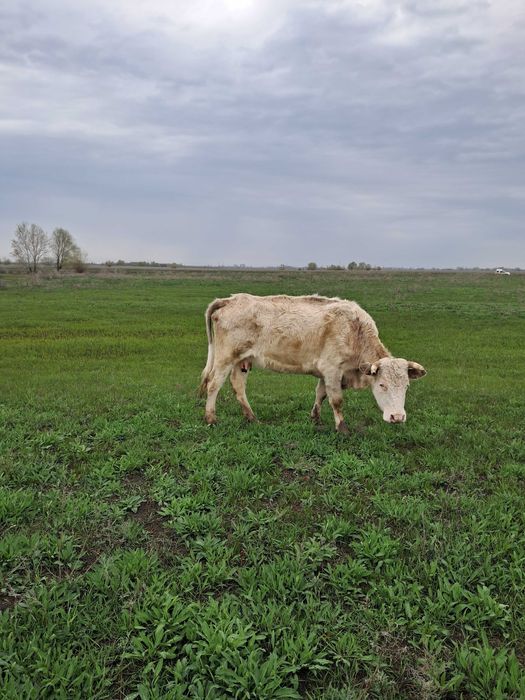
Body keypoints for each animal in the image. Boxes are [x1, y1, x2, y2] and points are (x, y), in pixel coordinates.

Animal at [198, 293, 426, 432]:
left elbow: (321, 393)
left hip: (242, 361)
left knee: (238, 387)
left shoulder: (327, 373)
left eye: (406, 386)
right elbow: (336, 400)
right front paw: (342, 428)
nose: (397, 417)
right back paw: (211, 419)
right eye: (382, 385)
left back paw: (252, 418)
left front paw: (315, 418)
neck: (355, 330)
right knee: (213, 385)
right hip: (225, 358)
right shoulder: (333, 369)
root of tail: (229, 300)